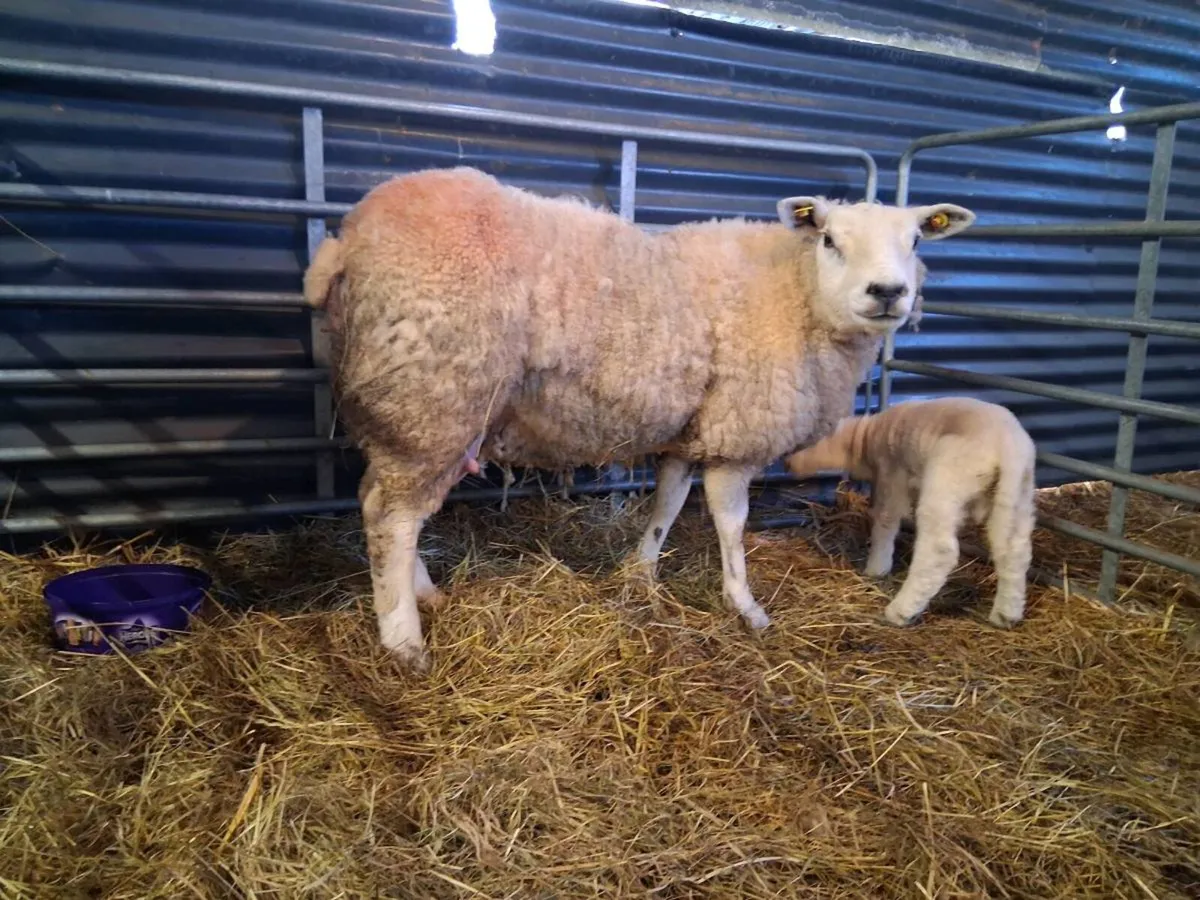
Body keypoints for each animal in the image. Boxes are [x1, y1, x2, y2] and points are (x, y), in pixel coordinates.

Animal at [303, 165, 975, 669]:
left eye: (917, 241)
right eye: (831, 239)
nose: (888, 293)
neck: (796, 292)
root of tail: (346, 240)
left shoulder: (691, 431)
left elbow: (668, 502)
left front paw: (642, 572)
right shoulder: (736, 435)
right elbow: (731, 523)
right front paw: (746, 606)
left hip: (402, 408)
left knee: (383, 504)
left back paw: (424, 595)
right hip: (433, 397)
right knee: (391, 517)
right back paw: (404, 638)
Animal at [783, 396, 1037, 629]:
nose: (786, 464)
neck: (865, 439)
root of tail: (1007, 447)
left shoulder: (890, 475)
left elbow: (885, 522)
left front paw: (876, 568)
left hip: (947, 481)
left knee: (939, 550)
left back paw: (901, 611)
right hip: (1017, 495)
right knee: (1015, 550)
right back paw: (1006, 614)